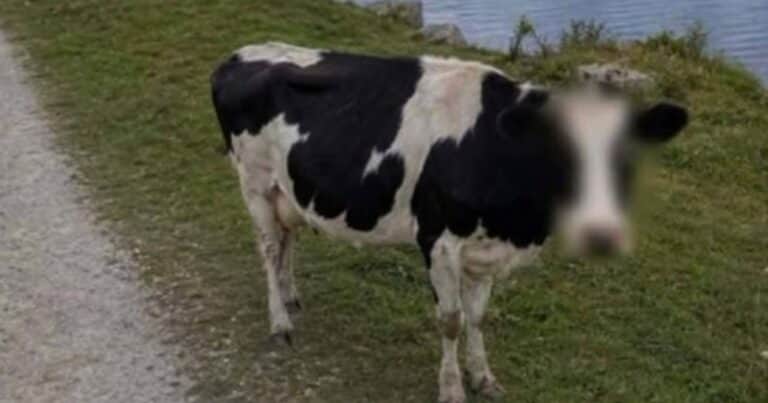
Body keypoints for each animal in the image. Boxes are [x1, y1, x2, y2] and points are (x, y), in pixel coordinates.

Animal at [210, 42, 688, 403]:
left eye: (626, 157)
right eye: (559, 151)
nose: (600, 235)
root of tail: (243, 53)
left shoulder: (485, 249)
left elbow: (477, 317)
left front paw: (483, 377)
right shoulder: (439, 240)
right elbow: (451, 319)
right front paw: (453, 388)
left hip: (286, 191)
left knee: (286, 239)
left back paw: (291, 296)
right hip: (254, 182)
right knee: (268, 249)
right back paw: (280, 322)